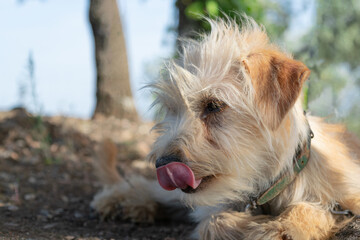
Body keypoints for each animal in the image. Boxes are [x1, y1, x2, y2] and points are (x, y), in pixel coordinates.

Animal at [90, 17, 360, 240]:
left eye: (214, 105)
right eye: (172, 109)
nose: (162, 164)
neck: (268, 187)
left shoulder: (346, 197)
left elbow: (313, 207)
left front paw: (281, 227)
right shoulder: (216, 204)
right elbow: (212, 221)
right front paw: (250, 225)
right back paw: (120, 200)